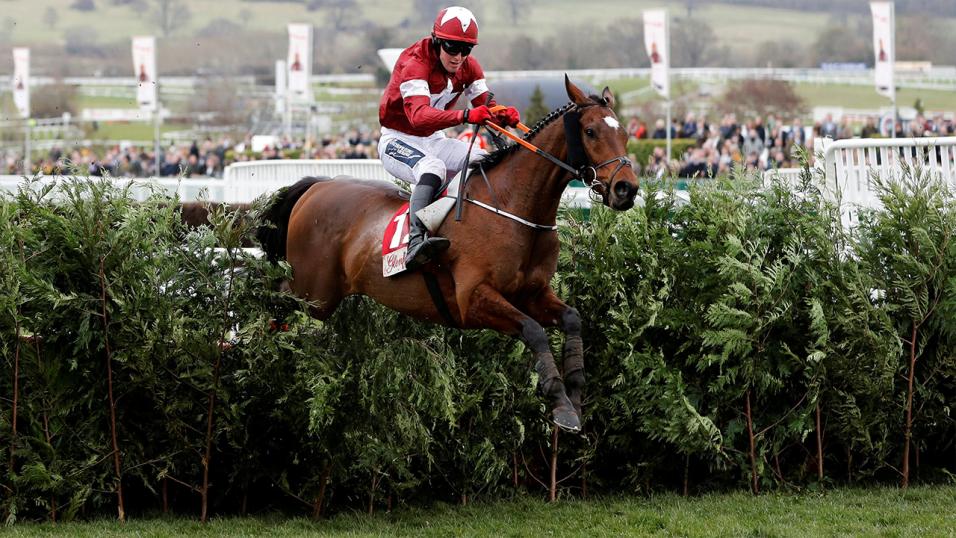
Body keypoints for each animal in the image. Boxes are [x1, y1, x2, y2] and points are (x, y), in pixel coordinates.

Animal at [258, 76, 640, 432]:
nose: (627, 189)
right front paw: (560, 402)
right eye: (590, 132)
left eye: (624, 134)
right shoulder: (472, 299)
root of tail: (318, 185)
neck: (514, 207)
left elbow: (572, 319)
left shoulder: (532, 293)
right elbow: (533, 331)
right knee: (276, 300)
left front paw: (574, 395)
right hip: (315, 292)